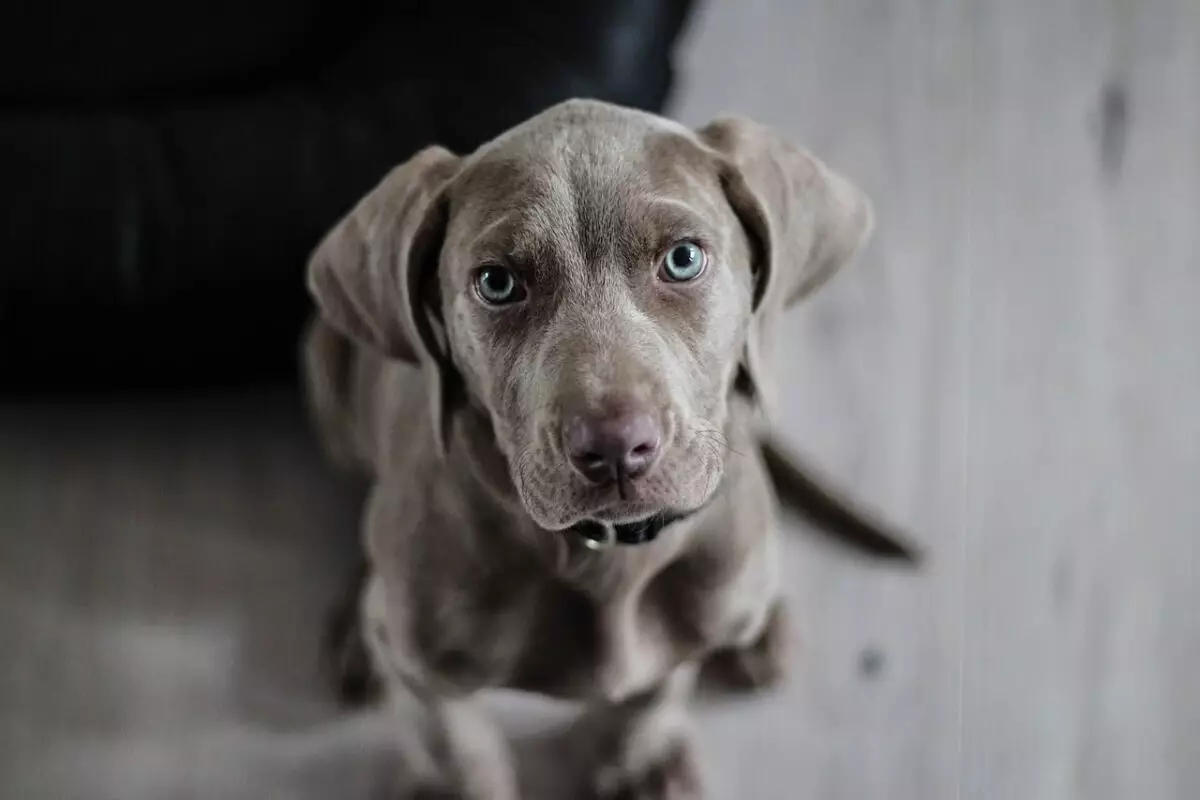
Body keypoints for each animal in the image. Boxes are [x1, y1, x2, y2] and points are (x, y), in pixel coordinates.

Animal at [300, 100, 916, 800]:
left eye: (683, 259)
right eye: (496, 282)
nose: (617, 448)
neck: (607, 557)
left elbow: (656, 689)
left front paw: (637, 760)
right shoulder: (425, 668)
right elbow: (453, 742)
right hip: (325, 369)